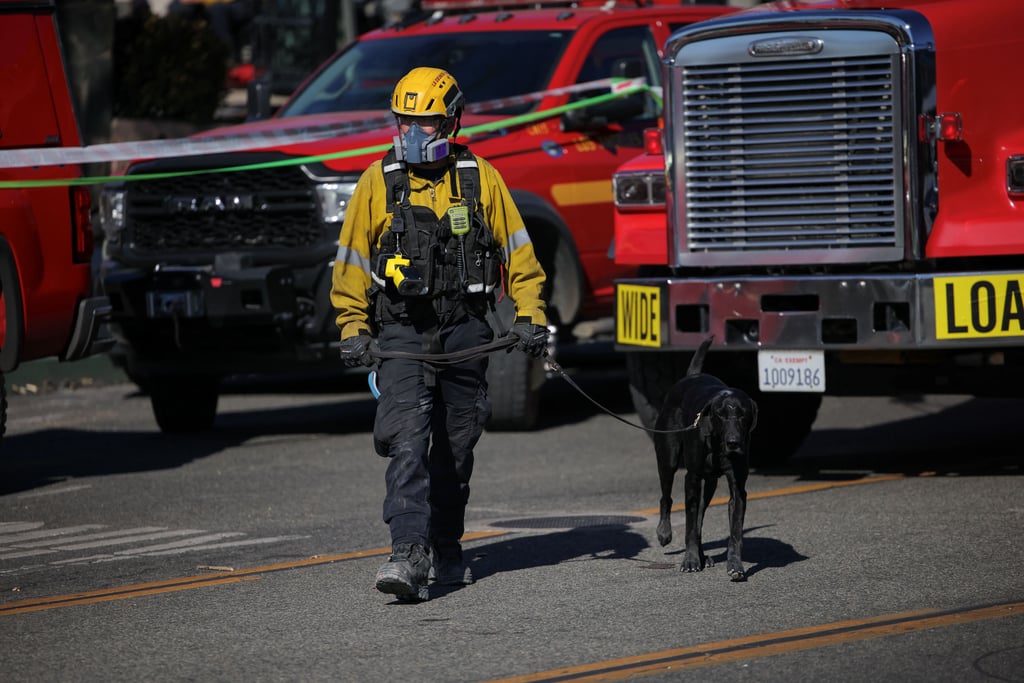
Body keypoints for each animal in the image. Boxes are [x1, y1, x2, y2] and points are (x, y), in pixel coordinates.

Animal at [651, 335, 757, 581]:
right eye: (720, 414)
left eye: (744, 415)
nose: (734, 442)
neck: (717, 443)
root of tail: (691, 376)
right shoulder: (692, 478)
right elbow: (689, 525)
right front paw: (690, 560)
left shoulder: (738, 488)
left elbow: (734, 530)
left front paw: (735, 565)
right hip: (668, 458)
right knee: (667, 497)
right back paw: (665, 532)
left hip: (710, 483)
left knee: (700, 513)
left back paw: (702, 555)